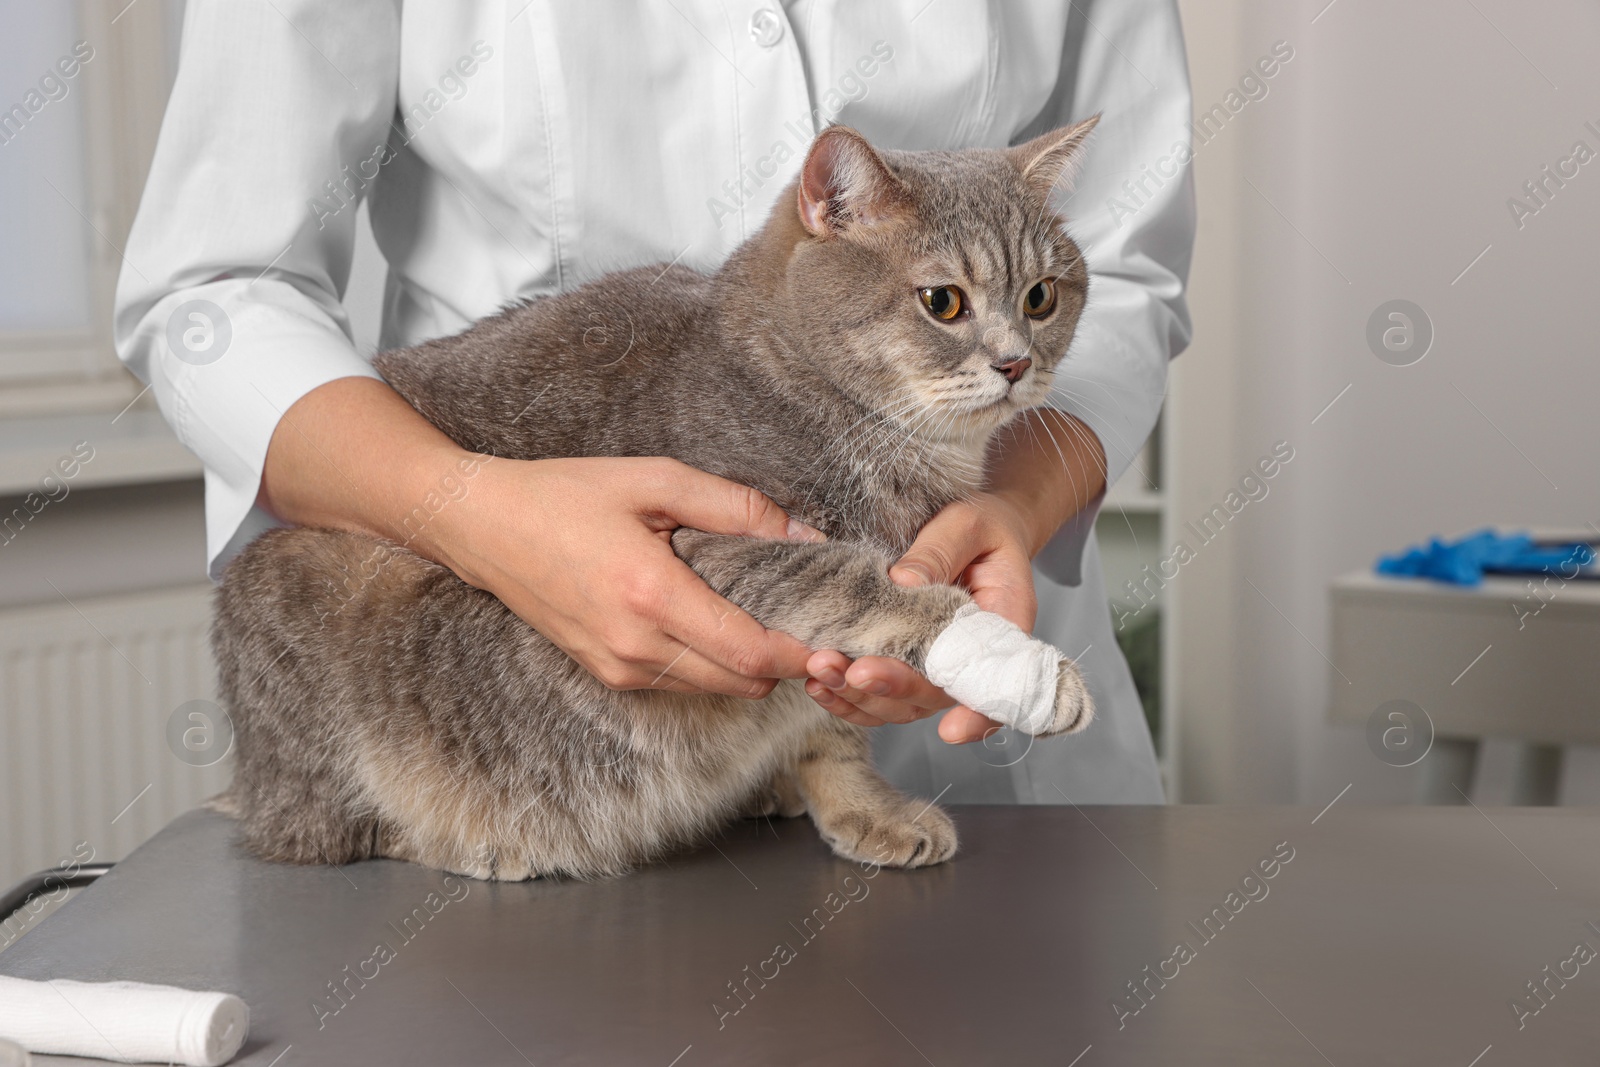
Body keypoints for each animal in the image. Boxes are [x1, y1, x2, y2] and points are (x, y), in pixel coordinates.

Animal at [212, 119, 1100, 883]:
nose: (1017, 363)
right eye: (943, 301)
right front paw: (1027, 669)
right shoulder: (718, 540)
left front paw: (863, 807)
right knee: (322, 829)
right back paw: (471, 841)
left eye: (1042, 297)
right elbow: (865, 587)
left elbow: (832, 730)